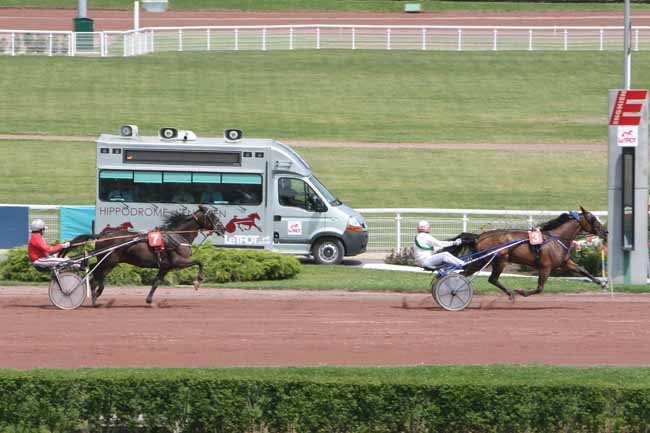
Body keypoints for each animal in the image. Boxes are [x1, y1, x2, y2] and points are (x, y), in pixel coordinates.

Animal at [89, 205, 225, 304]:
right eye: (212, 216)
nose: (223, 229)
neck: (178, 237)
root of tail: (102, 235)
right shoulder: (178, 261)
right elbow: (199, 262)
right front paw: (197, 282)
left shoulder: (165, 266)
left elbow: (156, 282)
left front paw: (149, 300)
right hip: (108, 262)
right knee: (95, 277)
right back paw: (96, 297)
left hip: (108, 262)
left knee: (93, 273)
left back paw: (95, 294)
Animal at [450, 208, 608, 298]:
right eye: (593, 219)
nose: (606, 231)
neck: (555, 239)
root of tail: (479, 236)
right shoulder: (545, 267)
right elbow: (540, 288)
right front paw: (522, 292)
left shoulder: (565, 262)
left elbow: (582, 269)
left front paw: (602, 283)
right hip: (499, 259)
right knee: (491, 279)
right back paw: (511, 293)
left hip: (483, 260)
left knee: (465, 273)